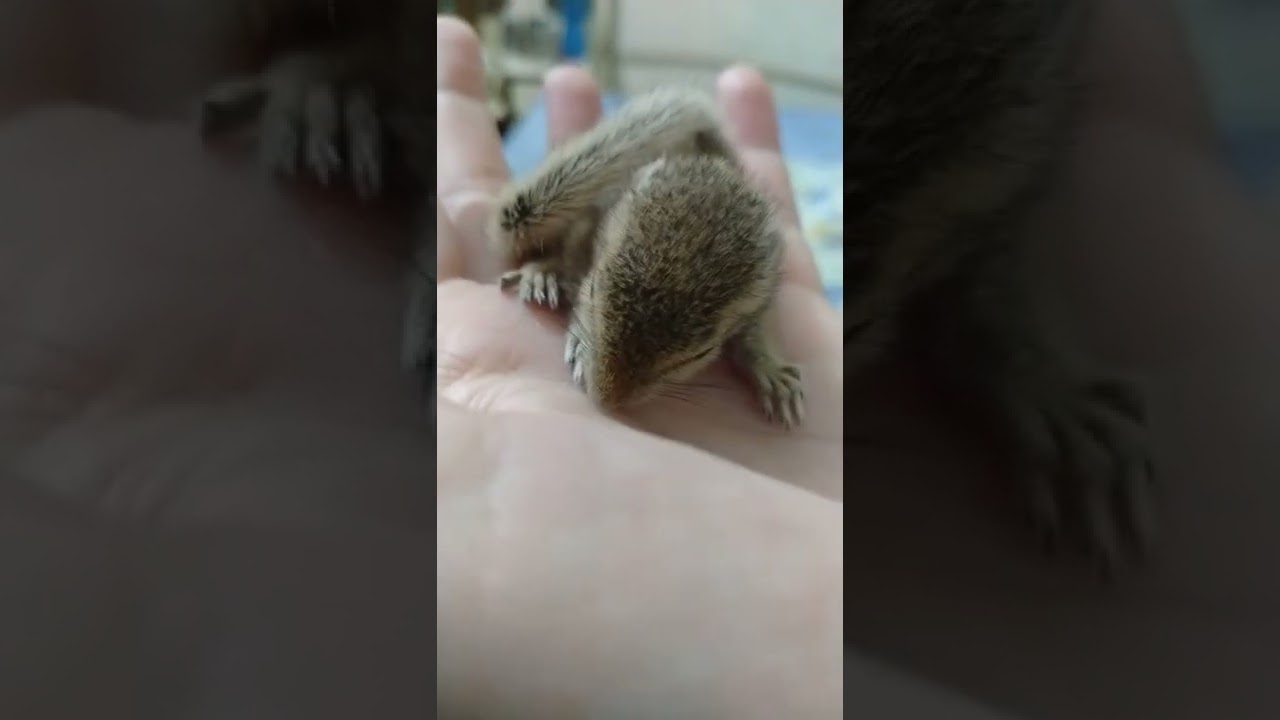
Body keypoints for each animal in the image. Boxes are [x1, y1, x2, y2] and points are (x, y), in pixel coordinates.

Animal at [492, 87, 804, 428]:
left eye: (699, 354)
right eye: (593, 289)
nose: (605, 401)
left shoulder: (761, 296)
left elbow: (753, 336)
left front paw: (770, 371)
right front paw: (568, 319)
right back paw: (543, 273)